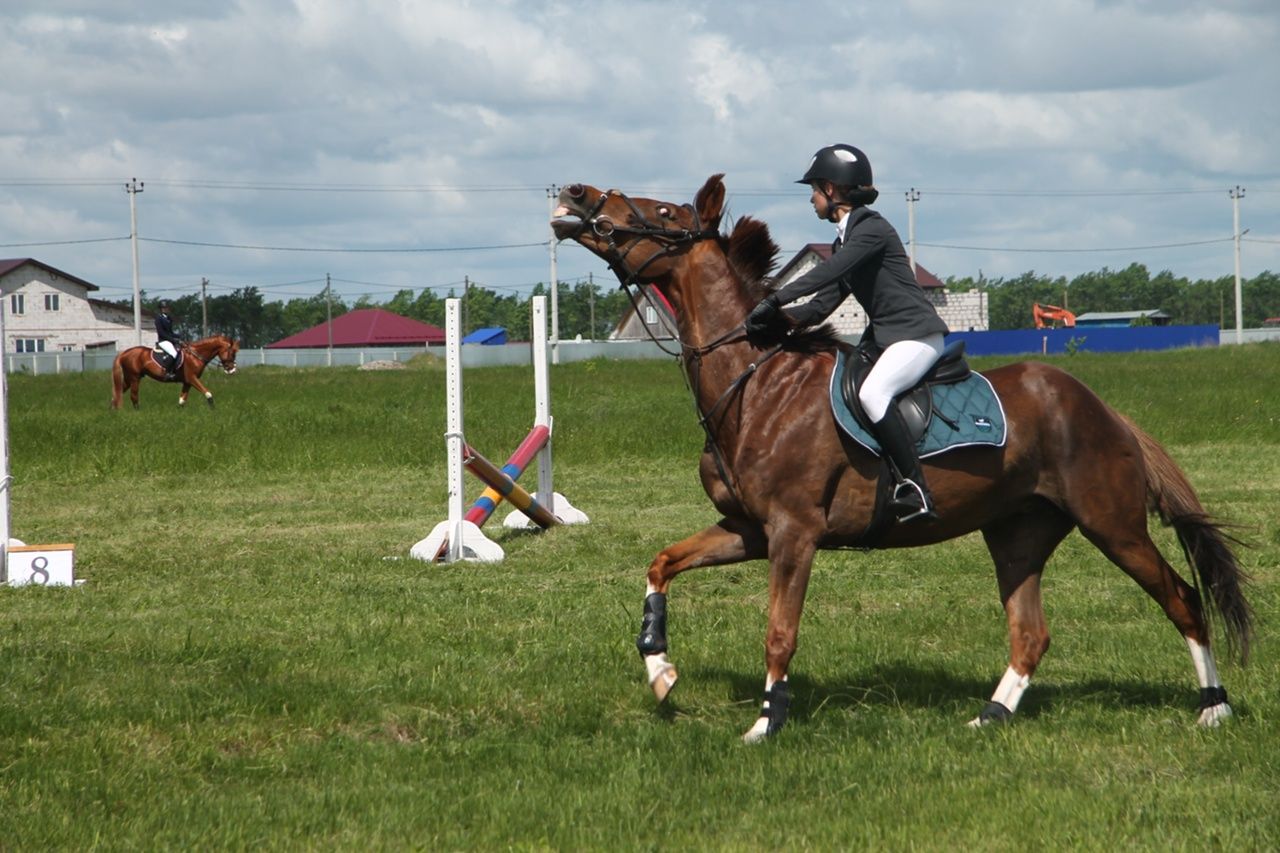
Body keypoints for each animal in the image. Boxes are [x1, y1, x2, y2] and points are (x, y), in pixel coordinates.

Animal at [110, 333, 240, 409]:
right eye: (232, 352)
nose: (232, 370)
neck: (195, 355)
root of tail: (124, 353)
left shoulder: (187, 382)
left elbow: (182, 401)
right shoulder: (192, 378)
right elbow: (208, 393)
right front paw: (213, 409)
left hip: (129, 378)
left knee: (118, 393)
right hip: (134, 378)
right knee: (134, 396)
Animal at [550, 171, 1249, 737]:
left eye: (665, 212)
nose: (577, 195)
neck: (754, 383)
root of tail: (1103, 409)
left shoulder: (794, 533)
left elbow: (779, 633)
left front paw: (766, 725)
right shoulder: (749, 528)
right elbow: (662, 563)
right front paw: (659, 667)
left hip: (1112, 523)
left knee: (1183, 599)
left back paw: (1214, 708)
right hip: (1018, 532)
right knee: (1031, 632)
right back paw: (989, 716)